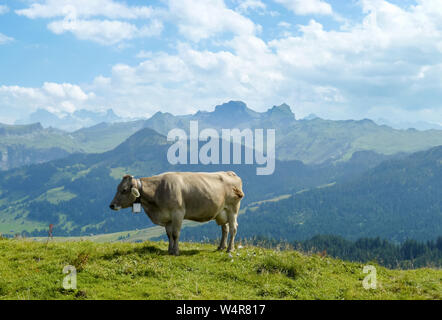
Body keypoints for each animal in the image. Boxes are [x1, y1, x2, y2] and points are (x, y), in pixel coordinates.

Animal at [108, 171, 243, 256]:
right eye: (117, 188)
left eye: (124, 190)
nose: (111, 205)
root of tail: (230, 173)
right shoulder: (167, 217)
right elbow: (169, 235)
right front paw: (170, 250)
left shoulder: (178, 213)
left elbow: (175, 234)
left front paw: (176, 251)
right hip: (221, 212)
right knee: (225, 229)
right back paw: (221, 247)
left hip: (233, 209)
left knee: (233, 228)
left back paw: (229, 249)